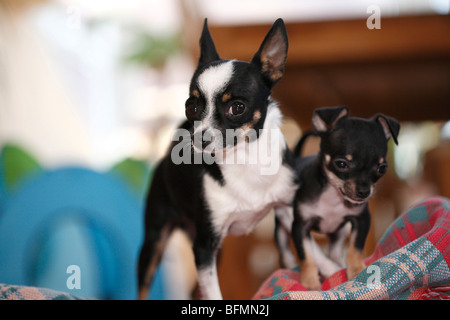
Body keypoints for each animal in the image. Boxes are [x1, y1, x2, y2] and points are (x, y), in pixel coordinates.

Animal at [137, 19, 298, 300]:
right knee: (143, 286)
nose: (200, 138)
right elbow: (214, 294)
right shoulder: (204, 247)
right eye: (191, 107)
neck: (245, 160)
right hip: (155, 241)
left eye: (237, 108)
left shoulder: (287, 211)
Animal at [278, 105, 400, 290]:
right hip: (281, 232)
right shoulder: (299, 226)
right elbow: (307, 257)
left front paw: (356, 271)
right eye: (341, 164)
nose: (364, 191)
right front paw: (310, 283)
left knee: (334, 251)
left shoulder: (361, 219)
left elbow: (355, 248)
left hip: (339, 232)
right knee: (287, 254)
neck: (333, 195)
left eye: (382, 168)